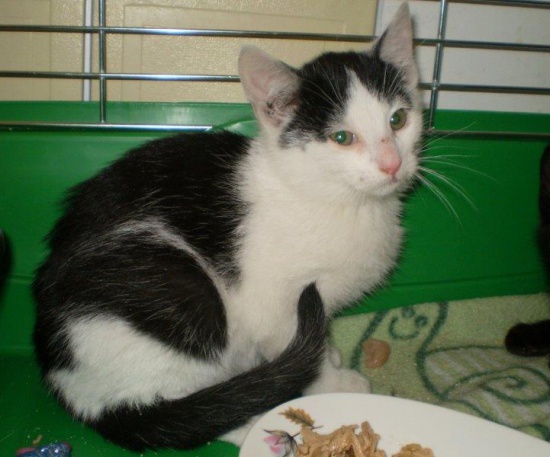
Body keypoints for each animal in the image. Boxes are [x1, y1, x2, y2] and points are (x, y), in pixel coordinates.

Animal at [32, 4, 422, 452]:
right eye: (342, 138)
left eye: (398, 119)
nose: (392, 164)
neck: (342, 202)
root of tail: (70, 390)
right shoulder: (278, 305)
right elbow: (302, 344)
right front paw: (333, 383)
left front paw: (333, 353)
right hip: (184, 294)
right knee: (193, 415)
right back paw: (254, 421)